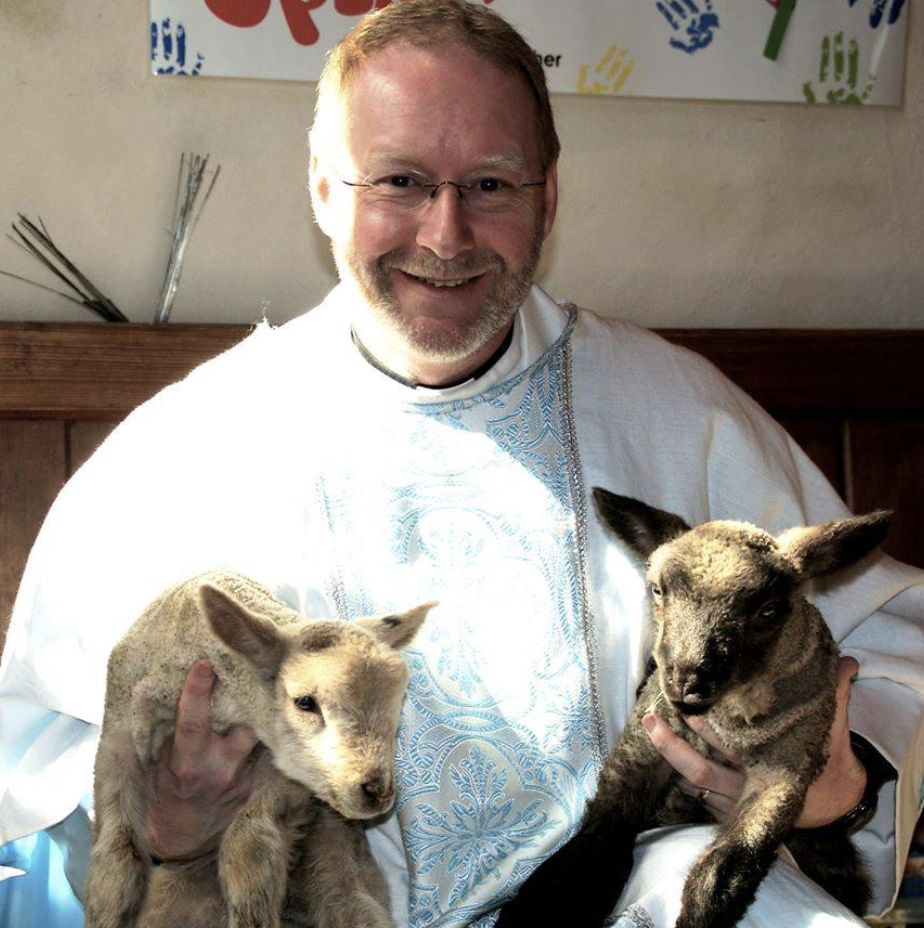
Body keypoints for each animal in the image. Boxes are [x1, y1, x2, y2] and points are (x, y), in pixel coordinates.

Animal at [84, 569, 433, 928]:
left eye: (397, 705)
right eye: (305, 702)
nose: (377, 791)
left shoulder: (280, 770)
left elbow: (250, 845)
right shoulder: (117, 742)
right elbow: (115, 860)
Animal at [496, 489, 891, 928]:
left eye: (768, 609)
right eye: (657, 590)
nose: (686, 681)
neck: (728, 716)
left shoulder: (785, 766)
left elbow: (731, 863)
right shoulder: (642, 745)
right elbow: (599, 837)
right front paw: (539, 909)